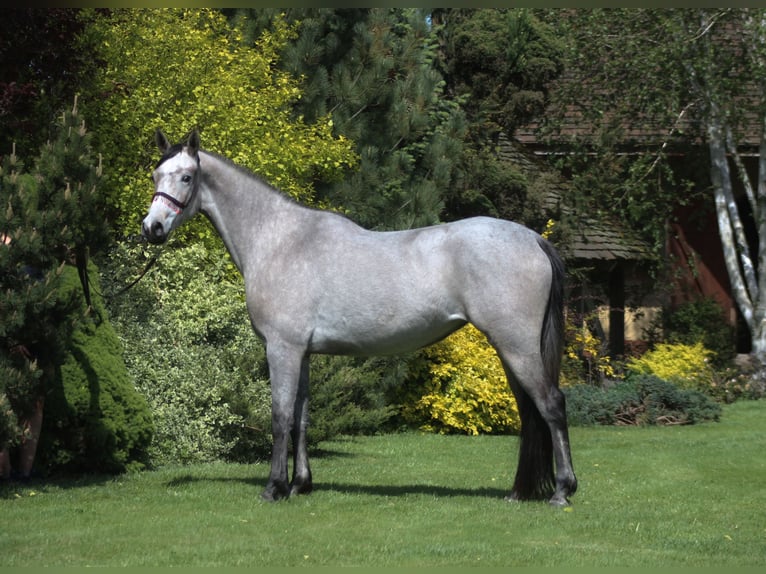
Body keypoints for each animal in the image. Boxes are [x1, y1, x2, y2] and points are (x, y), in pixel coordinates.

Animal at [141, 129, 580, 508]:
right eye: (155, 174)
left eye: (186, 176)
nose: (152, 228)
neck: (279, 240)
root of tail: (534, 239)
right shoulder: (303, 353)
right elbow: (302, 418)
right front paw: (300, 485)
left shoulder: (282, 349)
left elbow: (280, 417)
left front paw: (274, 487)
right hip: (511, 348)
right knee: (530, 410)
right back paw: (521, 491)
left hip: (516, 344)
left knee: (551, 404)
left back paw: (562, 491)